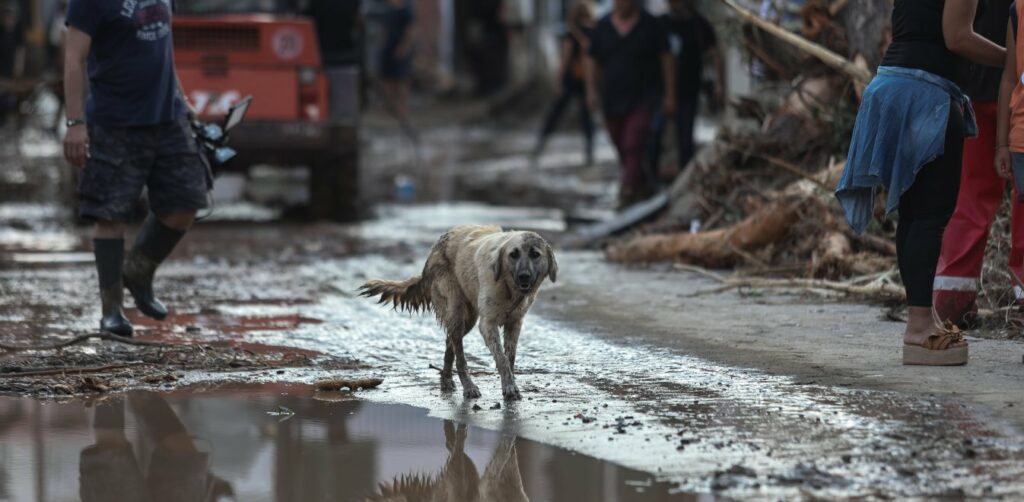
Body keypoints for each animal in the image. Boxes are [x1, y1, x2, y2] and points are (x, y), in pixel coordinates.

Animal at [358, 224, 557, 399]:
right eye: (513, 254)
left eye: (535, 254)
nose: (524, 276)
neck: (509, 289)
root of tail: (433, 250)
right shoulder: (488, 324)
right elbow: (501, 359)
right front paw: (509, 387)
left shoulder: (515, 323)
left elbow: (510, 357)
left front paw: (511, 383)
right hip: (456, 311)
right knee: (459, 355)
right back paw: (468, 387)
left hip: (467, 319)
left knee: (450, 344)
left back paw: (446, 380)